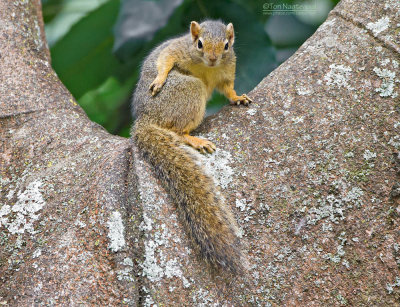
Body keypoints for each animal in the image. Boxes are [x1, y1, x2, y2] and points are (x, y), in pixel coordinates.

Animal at [131, 19, 252, 274]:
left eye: (226, 46)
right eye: (199, 44)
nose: (213, 58)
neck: (208, 68)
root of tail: (146, 119)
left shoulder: (227, 69)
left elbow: (228, 89)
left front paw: (238, 98)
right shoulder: (179, 49)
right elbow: (166, 57)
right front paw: (159, 78)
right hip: (187, 92)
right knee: (178, 131)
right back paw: (194, 139)